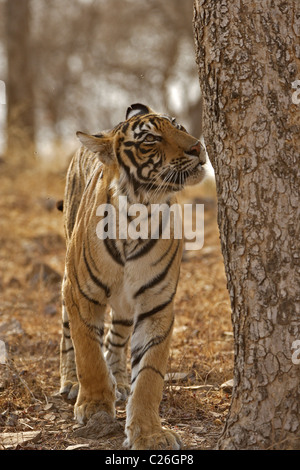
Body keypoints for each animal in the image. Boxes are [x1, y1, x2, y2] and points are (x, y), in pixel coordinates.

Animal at [59, 102, 207, 448]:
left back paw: (121, 381)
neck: (139, 212)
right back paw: (70, 383)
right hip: (68, 282)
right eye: (150, 139)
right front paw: (94, 406)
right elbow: (88, 353)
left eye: (178, 126)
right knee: (67, 333)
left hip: (126, 305)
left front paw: (150, 433)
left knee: (116, 339)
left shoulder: (156, 304)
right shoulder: (82, 295)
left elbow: (150, 375)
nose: (198, 146)